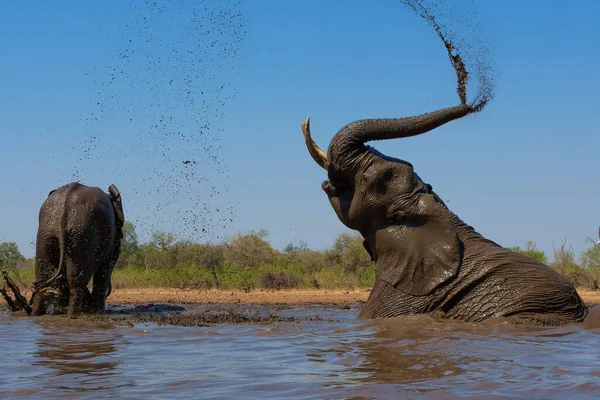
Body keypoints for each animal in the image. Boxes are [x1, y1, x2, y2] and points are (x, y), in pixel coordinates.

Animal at [31, 183, 124, 318]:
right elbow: (104, 268)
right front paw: (97, 312)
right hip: (83, 234)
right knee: (77, 282)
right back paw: (73, 316)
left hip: (48, 232)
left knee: (43, 276)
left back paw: (36, 314)